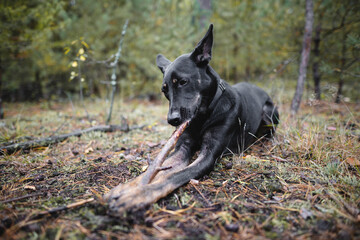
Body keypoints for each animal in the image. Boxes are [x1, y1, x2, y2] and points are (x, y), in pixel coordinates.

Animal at [105, 24, 280, 212]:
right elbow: (155, 169)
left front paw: (137, 195)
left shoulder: (209, 154)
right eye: (164, 90)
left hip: (269, 113)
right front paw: (125, 188)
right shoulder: (182, 147)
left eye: (182, 82)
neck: (204, 116)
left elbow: (173, 177)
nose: (172, 120)